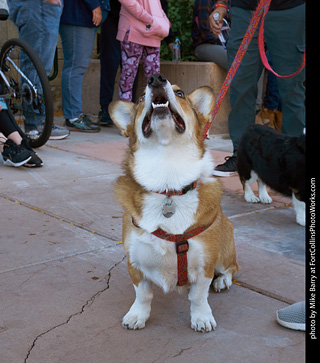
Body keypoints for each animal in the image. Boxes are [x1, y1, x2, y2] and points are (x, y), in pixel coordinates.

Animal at [109, 73, 238, 332]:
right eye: (141, 97)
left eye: (180, 93)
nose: (156, 78)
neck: (168, 181)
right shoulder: (135, 262)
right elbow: (142, 295)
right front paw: (137, 315)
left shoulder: (205, 263)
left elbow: (198, 296)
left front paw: (201, 317)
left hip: (225, 253)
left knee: (231, 268)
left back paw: (223, 282)